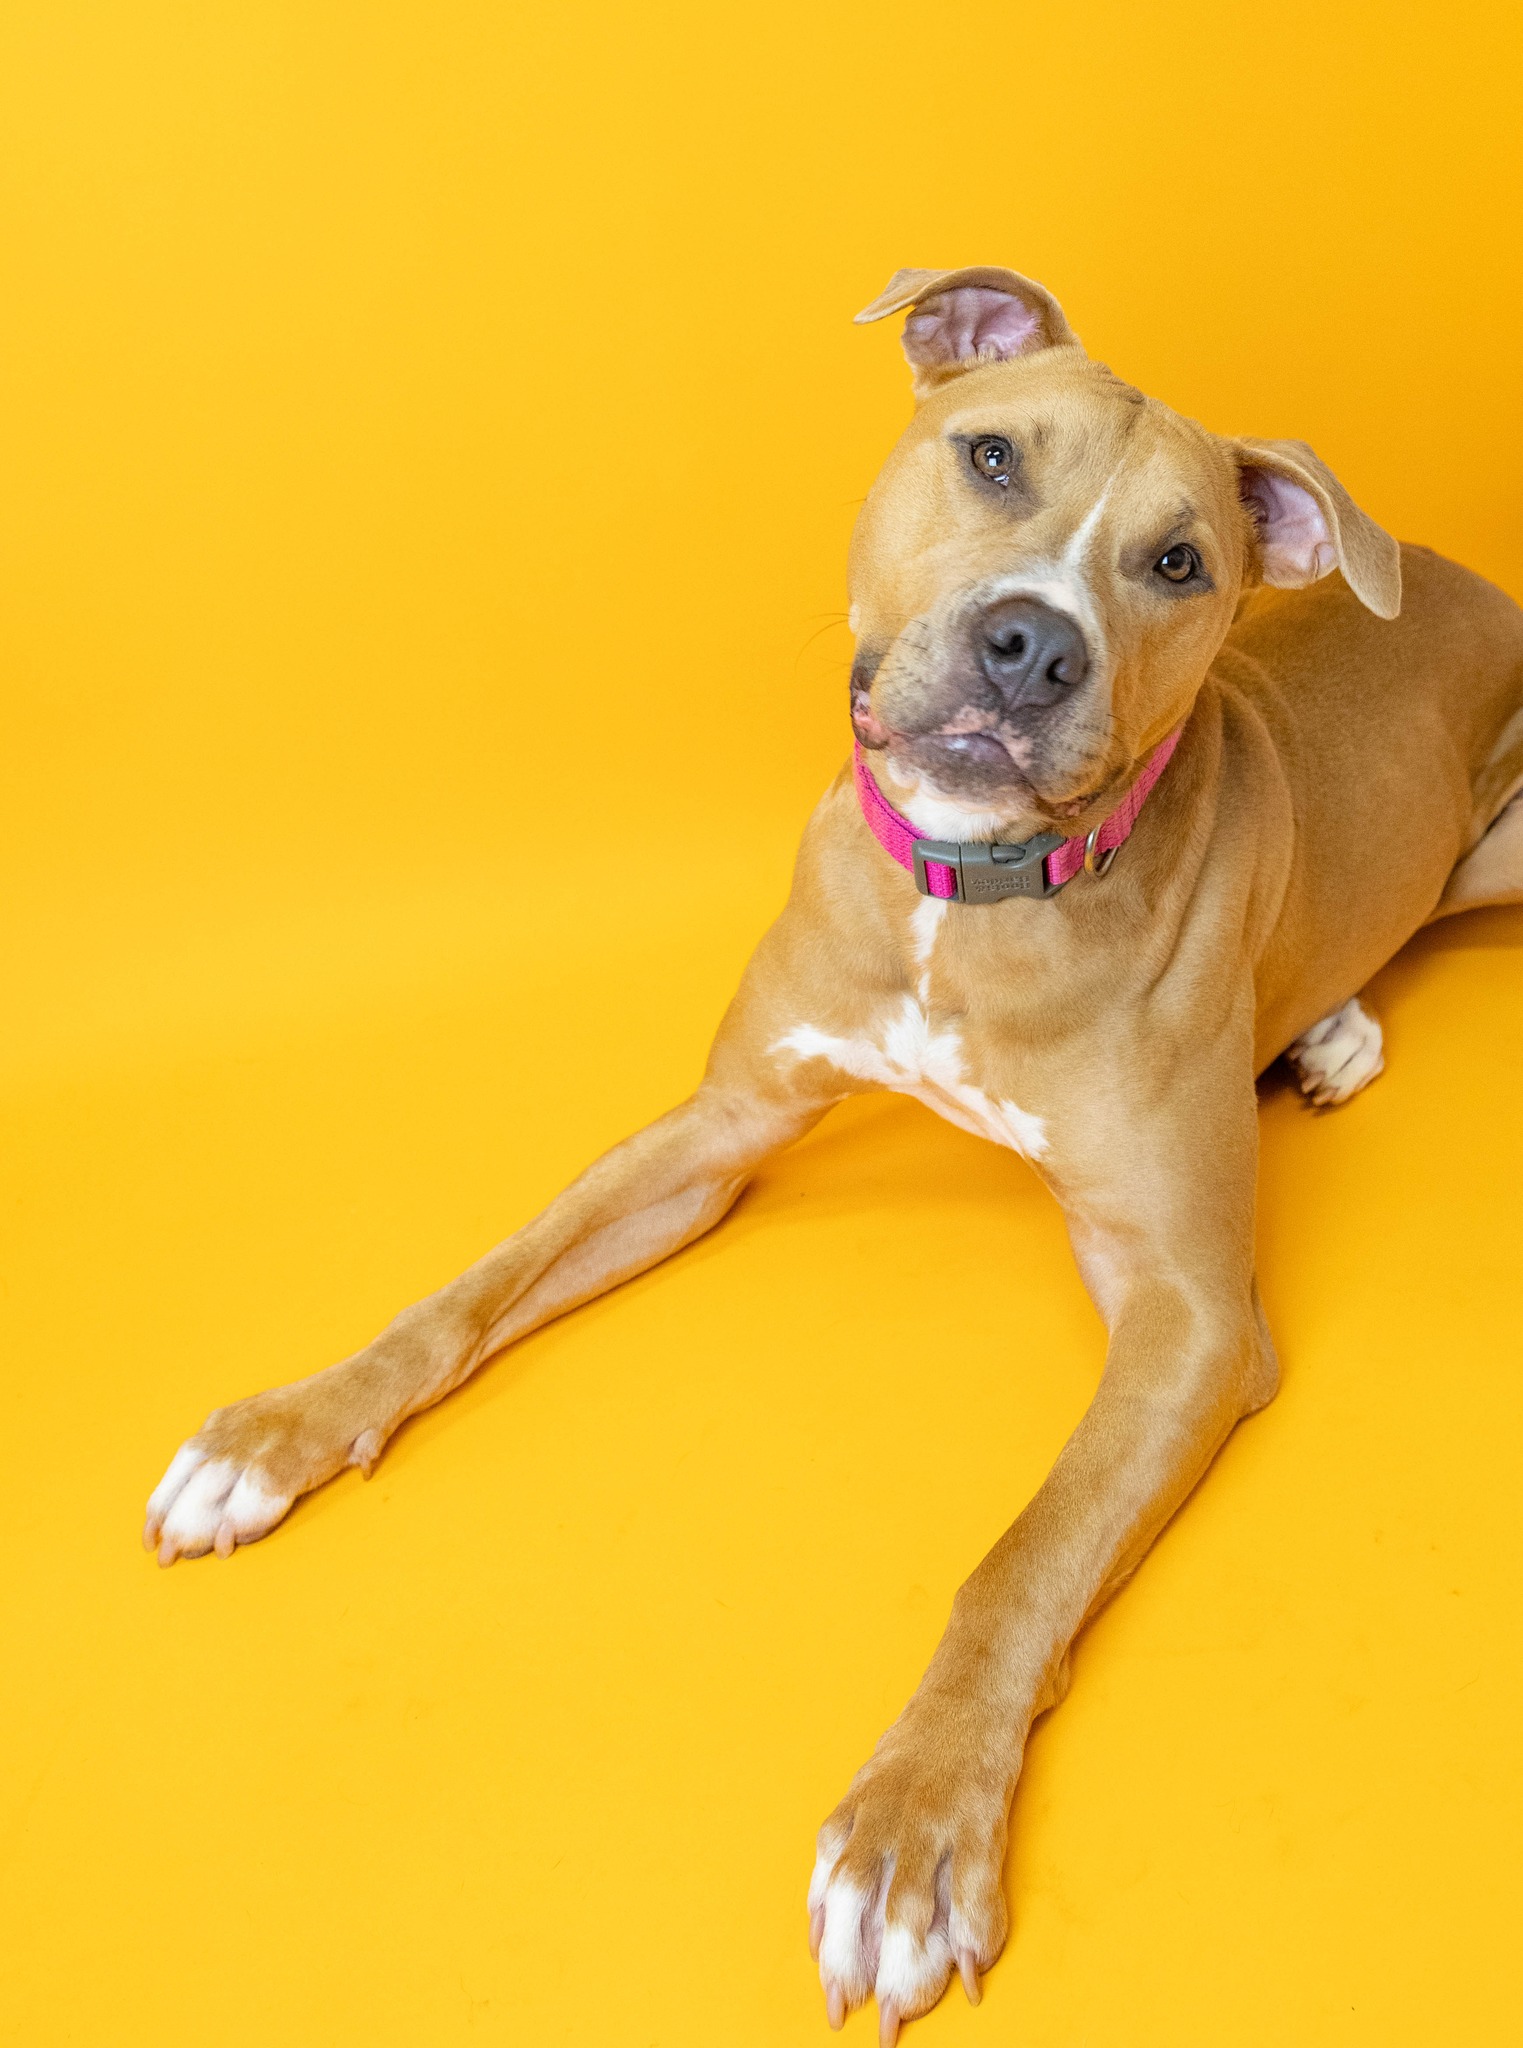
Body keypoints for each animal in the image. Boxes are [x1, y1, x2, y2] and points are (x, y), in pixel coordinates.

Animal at [140, 268, 1523, 2031]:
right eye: (991, 456)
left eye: (1176, 562)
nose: (1029, 641)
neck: (965, 897)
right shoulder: (715, 1129)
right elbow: (469, 1290)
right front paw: (281, 1431)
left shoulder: (1193, 1323)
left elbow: (1019, 1560)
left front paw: (912, 1830)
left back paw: (1336, 1025)